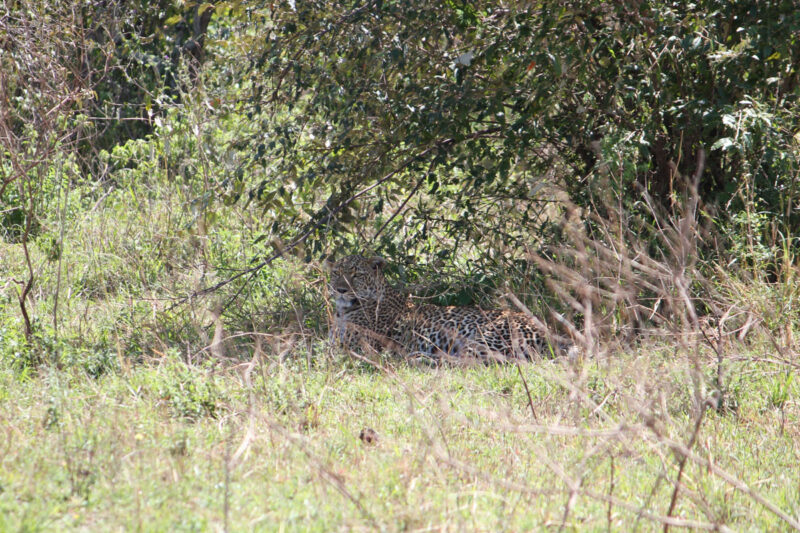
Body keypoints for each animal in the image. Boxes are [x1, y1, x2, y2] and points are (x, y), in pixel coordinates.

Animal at [324, 255, 576, 362]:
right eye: (336, 273)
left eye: (356, 275)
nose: (340, 290)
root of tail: (550, 333)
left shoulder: (354, 344)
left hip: (484, 337)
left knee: (474, 363)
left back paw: (418, 358)